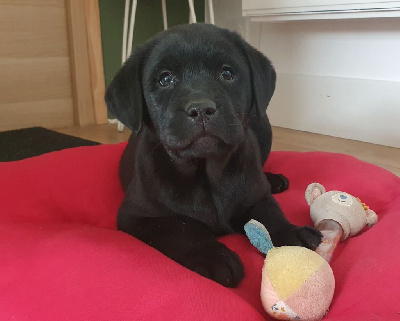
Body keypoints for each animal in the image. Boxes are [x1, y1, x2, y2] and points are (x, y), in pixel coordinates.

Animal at [104, 23, 322, 286]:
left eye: (227, 74)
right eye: (165, 79)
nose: (201, 109)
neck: (206, 172)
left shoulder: (257, 197)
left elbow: (271, 213)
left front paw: (292, 234)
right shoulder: (136, 216)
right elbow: (181, 227)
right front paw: (214, 256)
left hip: (262, 122)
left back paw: (273, 179)